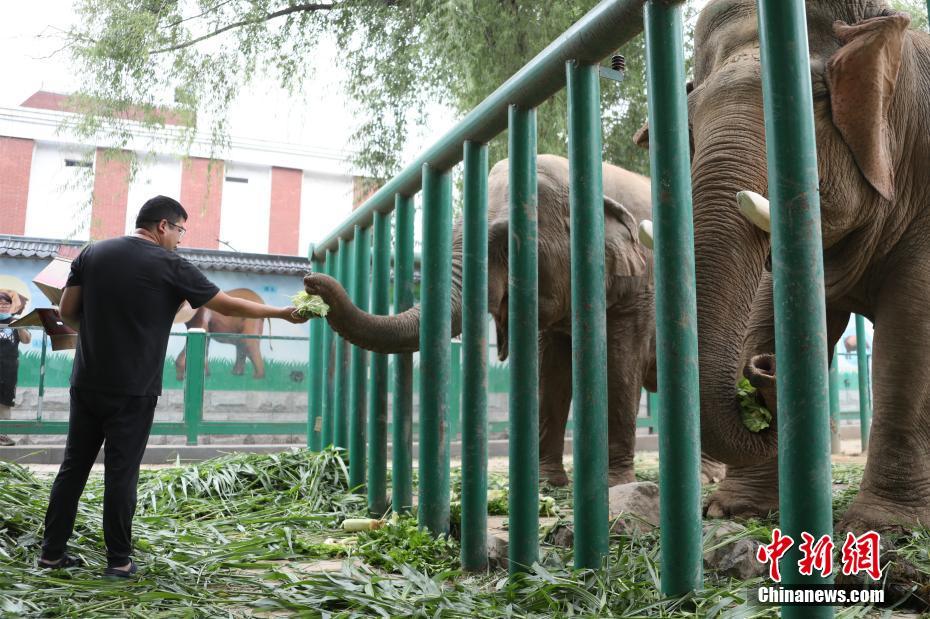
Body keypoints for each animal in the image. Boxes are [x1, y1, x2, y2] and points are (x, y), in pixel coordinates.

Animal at [636, 0, 928, 532]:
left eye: (816, 98)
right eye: (687, 127)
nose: (763, 370)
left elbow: (911, 333)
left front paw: (883, 527)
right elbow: (764, 313)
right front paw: (734, 511)